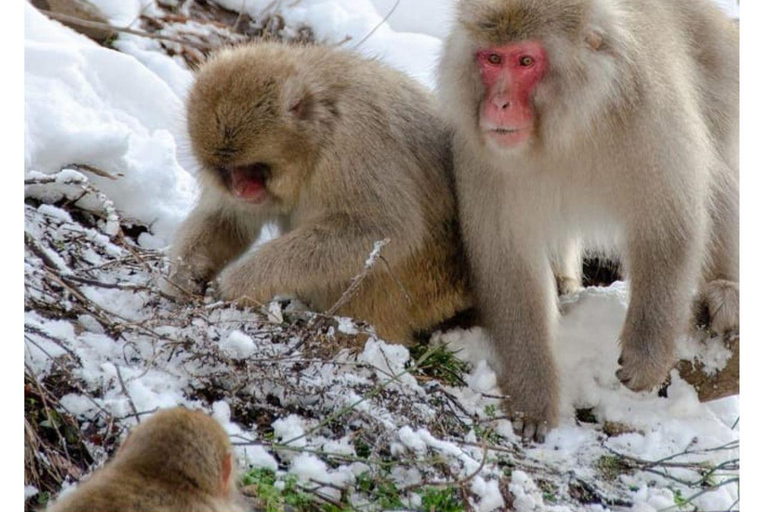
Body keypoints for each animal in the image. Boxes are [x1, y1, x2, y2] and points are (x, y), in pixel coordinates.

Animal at [164, 41, 472, 344]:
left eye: (252, 168)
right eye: (227, 170)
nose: (241, 189)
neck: (320, 133)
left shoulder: (356, 141)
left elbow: (382, 228)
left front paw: (243, 280)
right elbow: (229, 220)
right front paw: (184, 274)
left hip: (421, 292)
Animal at [438, 0, 736, 440]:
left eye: (525, 61)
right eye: (492, 59)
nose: (499, 104)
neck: (569, 128)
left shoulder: (649, 115)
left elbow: (668, 226)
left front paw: (646, 354)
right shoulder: (483, 155)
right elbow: (510, 265)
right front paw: (532, 398)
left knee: (721, 169)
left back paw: (728, 291)